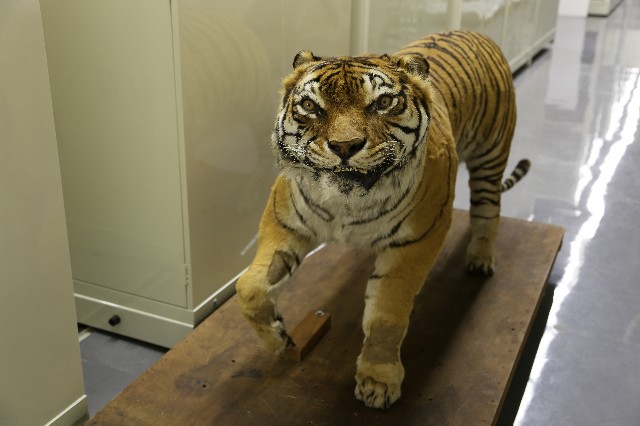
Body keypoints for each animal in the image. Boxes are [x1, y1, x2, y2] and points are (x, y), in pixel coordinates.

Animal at [235, 30, 530, 409]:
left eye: (383, 103)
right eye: (311, 107)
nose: (345, 146)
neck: (347, 204)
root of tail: (477, 32)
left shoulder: (415, 241)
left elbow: (386, 316)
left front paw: (378, 382)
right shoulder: (284, 220)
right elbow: (250, 287)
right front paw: (279, 341)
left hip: (491, 157)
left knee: (488, 212)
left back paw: (479, 259)